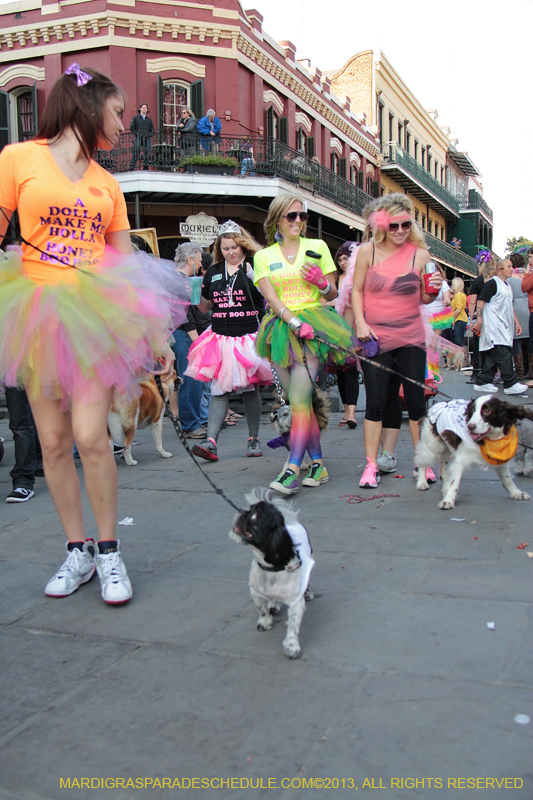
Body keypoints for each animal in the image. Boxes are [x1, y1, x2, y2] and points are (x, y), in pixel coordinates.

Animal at [230, 484, 314, 660]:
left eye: (254, 516)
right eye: (249, 509)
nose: (242, 511)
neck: (271, 569)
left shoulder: (296, 603)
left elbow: (293, 626)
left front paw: (292, 646)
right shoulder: (256, 592)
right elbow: (262, 609)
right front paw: (265, 622)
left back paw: (309, 592)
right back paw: (274, 605)